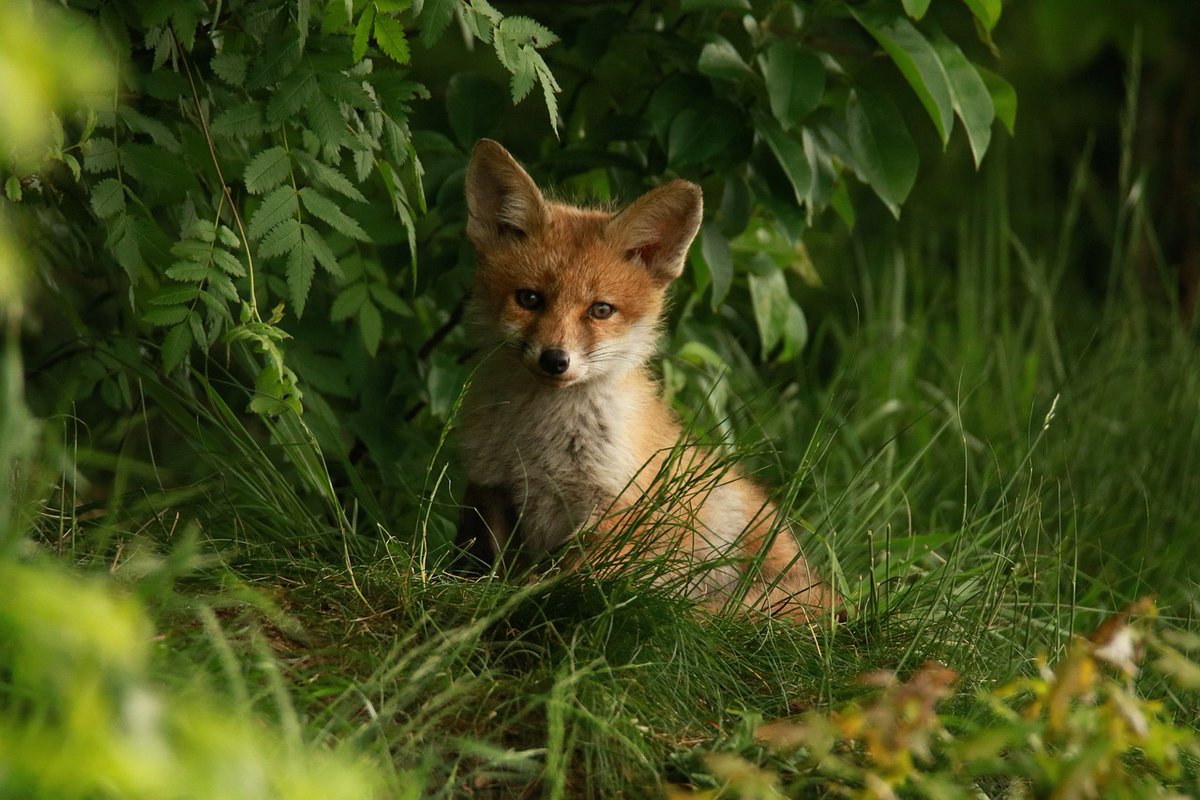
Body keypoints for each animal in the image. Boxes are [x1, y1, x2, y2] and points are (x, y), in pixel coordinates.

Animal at [453, 140, 840, 623]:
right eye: (529, 299)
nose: (555, 360)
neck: (540, 441)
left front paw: (530, 599)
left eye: (601, 310)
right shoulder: (492, 486)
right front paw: (490, 594)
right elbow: (496, 565)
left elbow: (569, 578)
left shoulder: (617, 506)